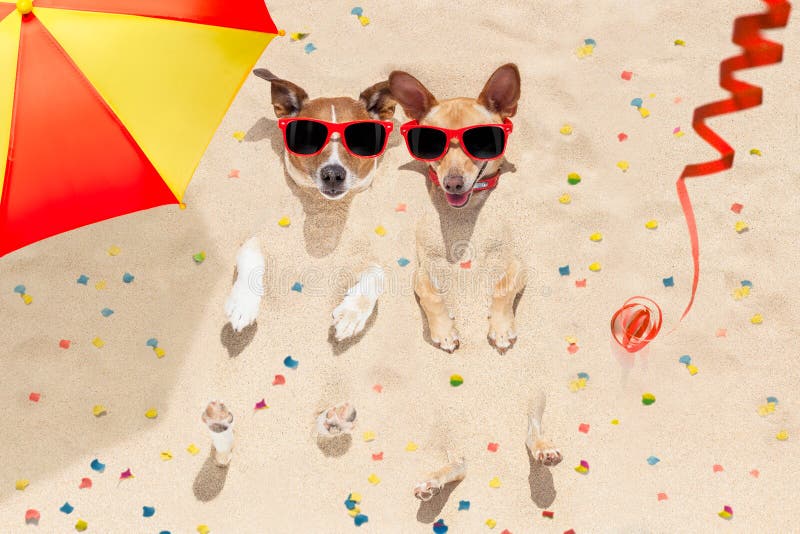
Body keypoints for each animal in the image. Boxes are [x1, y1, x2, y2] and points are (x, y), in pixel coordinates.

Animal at [223, 70, 398, 344]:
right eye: (308, 137)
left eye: (360, 139)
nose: (333, 174)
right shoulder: (254, 232)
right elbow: (252, 255)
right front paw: (243, 304)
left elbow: (377, 273)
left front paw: (352, 313)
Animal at [390, 65, 528, 354]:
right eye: (431, 145)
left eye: (482, 142)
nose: (452, 183)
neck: (463, 218)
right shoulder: (422, 270)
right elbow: (430, 293)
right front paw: (443, 330)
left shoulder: (517, 264)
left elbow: (502, 286)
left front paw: (501, 327)